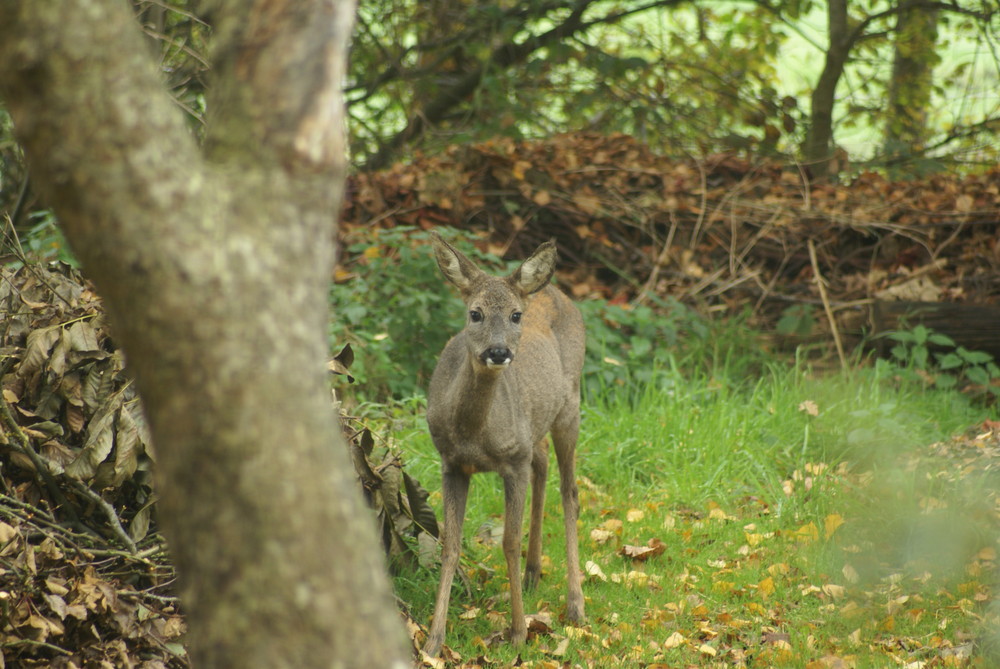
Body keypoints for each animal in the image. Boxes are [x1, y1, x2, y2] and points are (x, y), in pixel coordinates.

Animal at [422, 232, 584, 656]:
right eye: (475, 313)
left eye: (515, 316)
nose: (498, 352)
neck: (474, 435)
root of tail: (555, 290)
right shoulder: (451, 463)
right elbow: (450, 545)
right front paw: (433, 641)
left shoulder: (512, 462)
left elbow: (509, 542)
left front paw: (518, 632)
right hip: (535, 427)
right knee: (543, 463)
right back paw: (533, 572)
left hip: (571, 406)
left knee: (571, 492)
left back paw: (575, 604)